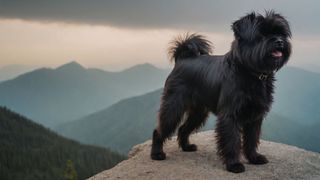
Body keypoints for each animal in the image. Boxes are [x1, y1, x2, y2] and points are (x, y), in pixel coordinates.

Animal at [151, 10, 292, 173]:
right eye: (261, 35)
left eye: (280, 33)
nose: (279, 41)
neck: (250, 71)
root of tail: (182, 59)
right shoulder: (230, 115)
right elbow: (232, 141)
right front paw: (234, 164)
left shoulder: (255, 117)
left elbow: (251, 139)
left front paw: (254, 158)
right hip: (174, 107)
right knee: (160, 129)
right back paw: (156, 154)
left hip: (199, 112)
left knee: (183, 128)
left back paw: (186, 147)